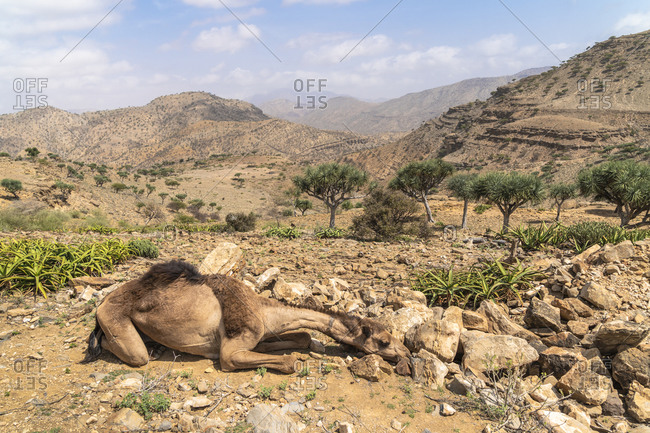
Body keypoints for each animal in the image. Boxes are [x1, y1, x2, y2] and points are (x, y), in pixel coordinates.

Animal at [83, 260, 411, 373]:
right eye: (383, 341)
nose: (405, 353)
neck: (263, 309)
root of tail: (104, 302)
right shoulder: (230, 352)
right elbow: (289, 361)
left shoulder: (257, 336)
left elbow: (302, 337)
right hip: (115, 319)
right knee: (130, 352)